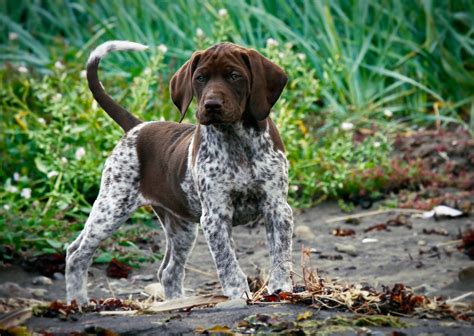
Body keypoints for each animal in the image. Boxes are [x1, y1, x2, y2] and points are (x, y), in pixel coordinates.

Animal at [66, 40, 294, 304]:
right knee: (76, 253)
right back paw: (78, 302)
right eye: (200, 78)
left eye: (235, 76)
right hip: (112, 208)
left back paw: (177, 302)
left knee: (169, 272)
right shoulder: (215, 216)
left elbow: (280, 256)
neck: (238, 140)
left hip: (180, 227)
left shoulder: (277, 208)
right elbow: (227, 263)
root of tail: (137, 127)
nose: (211, 105)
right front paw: (238, 295)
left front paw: (281, 289)